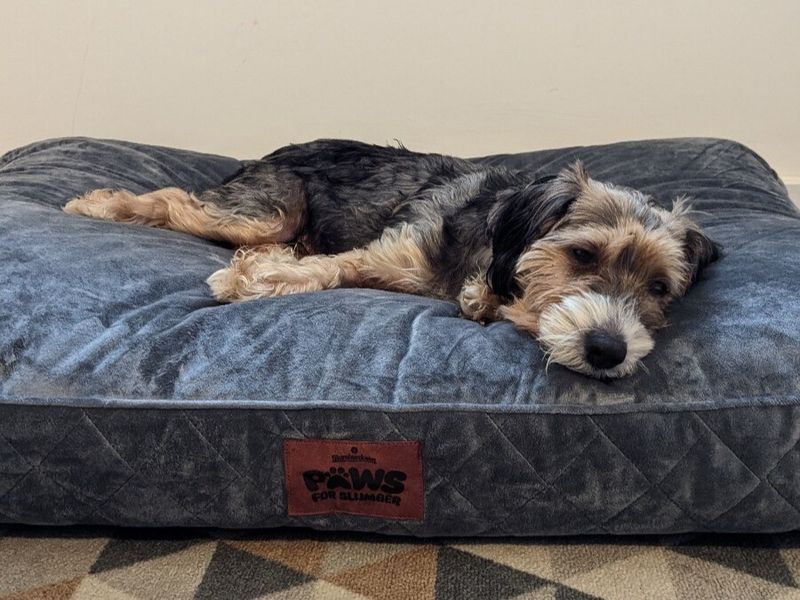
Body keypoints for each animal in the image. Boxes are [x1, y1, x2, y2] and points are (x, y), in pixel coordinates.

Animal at [65, 138, 720, 378]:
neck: (493, 246)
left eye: (659, 288)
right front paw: (254, 280)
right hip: (264, 208)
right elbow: (331, 269)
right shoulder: (390, 251)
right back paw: (95, 204)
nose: (608, 351)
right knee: (177, 201)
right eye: (583, 253)